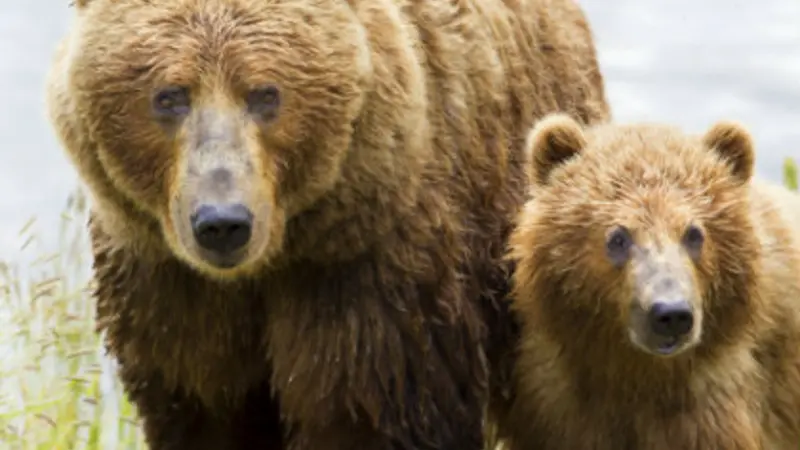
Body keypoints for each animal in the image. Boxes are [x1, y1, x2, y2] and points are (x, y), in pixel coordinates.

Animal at [45, 0, 610, 449]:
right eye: (170, 95)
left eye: (265, 93)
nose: (224, 222)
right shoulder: (170, 288)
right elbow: (205, 406)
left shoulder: (365, 276)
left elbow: (366, 412)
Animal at [489, 113, 800, 450]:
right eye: (618, 236)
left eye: (694, 233)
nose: (671, 314)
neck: (641, 374)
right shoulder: (558, 403)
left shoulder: (718, 402)